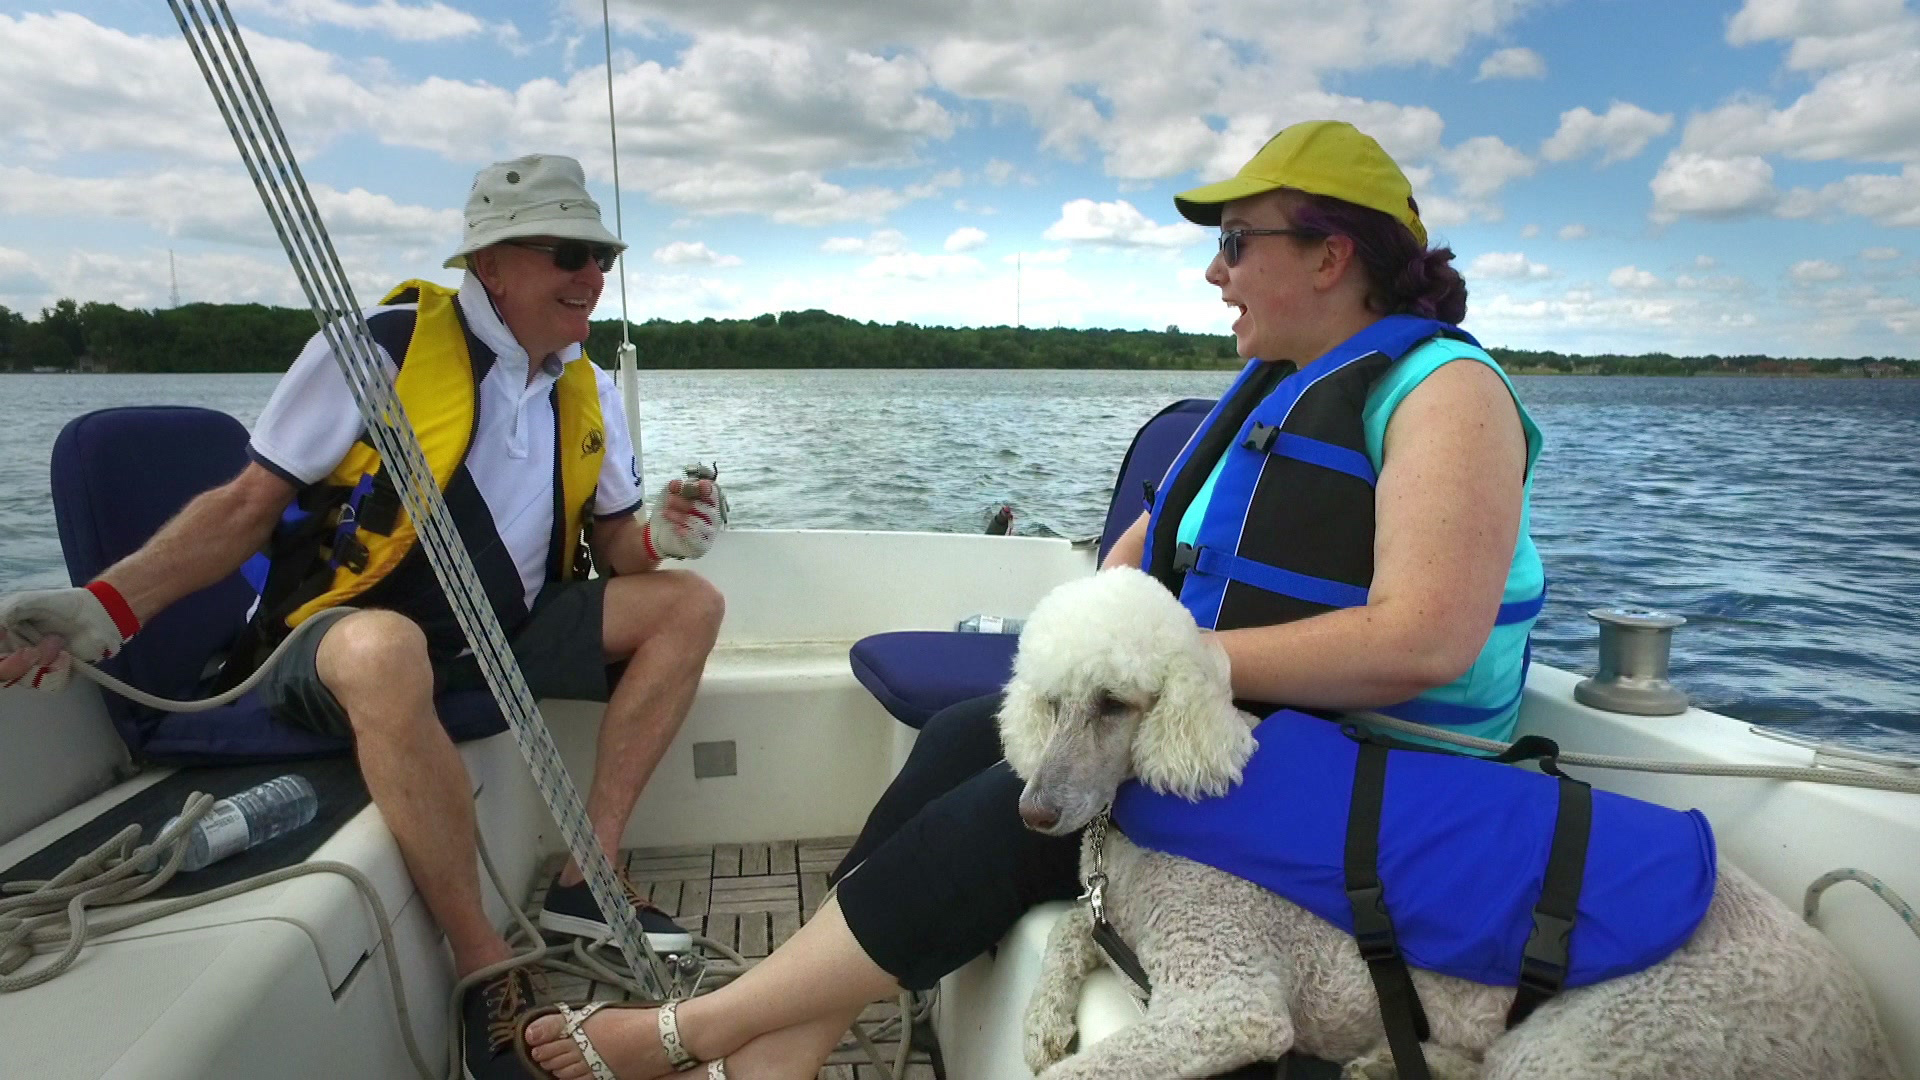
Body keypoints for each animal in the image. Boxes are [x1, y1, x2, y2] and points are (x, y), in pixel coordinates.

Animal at [1000, 566, 1899, 1080]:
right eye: (1048, 701)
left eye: (1115, 702)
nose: (1034, 812)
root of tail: (1870, 1037)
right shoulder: (1116, 913)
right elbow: (1071, 927)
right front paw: (1042, 1021)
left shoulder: (1227, 999)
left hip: (1595, 1044)